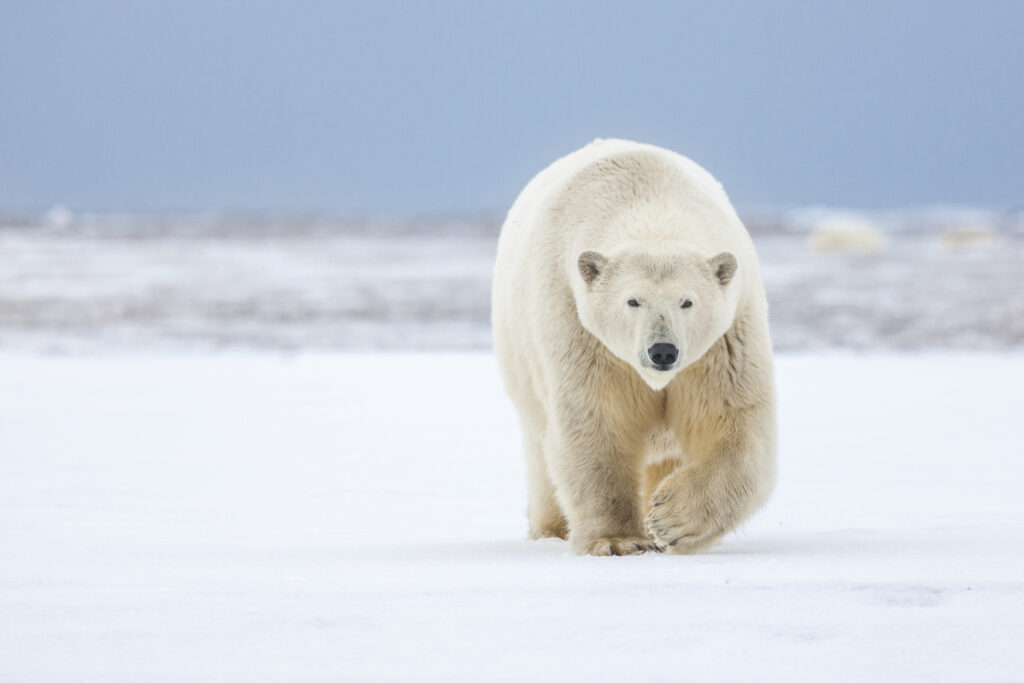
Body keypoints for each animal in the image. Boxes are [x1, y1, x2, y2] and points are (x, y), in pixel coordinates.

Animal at [491, 139, 777, 556]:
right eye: (632, 300)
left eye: (687, 302)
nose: (663, 351)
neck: (649, 202)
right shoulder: (580, 329)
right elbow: (596, 421)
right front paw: (618, 540)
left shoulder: (725, 341)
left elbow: (733, 420)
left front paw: (669, 518)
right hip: (523, 367)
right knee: (542, 454)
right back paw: (551, 529)